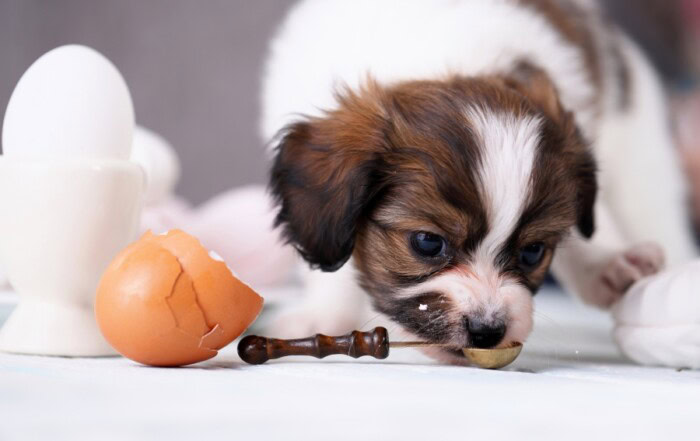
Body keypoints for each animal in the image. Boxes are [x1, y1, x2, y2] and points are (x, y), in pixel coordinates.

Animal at [260, 0, 696, 362]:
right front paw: (324, 314)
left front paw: (605, 261)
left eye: (533, 252)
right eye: (427, 243)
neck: (440, 59)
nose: (487, 330)